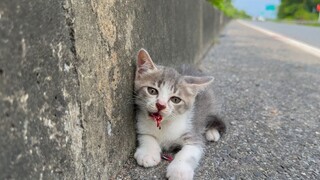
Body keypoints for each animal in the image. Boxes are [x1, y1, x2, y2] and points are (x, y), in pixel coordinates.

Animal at [132, 48, 225, 179]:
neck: (164, 123)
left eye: (175, 99)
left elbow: (188, 152)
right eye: (152, 91)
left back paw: (212, 132)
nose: (160, 105)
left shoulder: (193, 134)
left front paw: (179, 170)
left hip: (211, 103)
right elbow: (147, 137)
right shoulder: (141, 125)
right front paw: (148, 153)